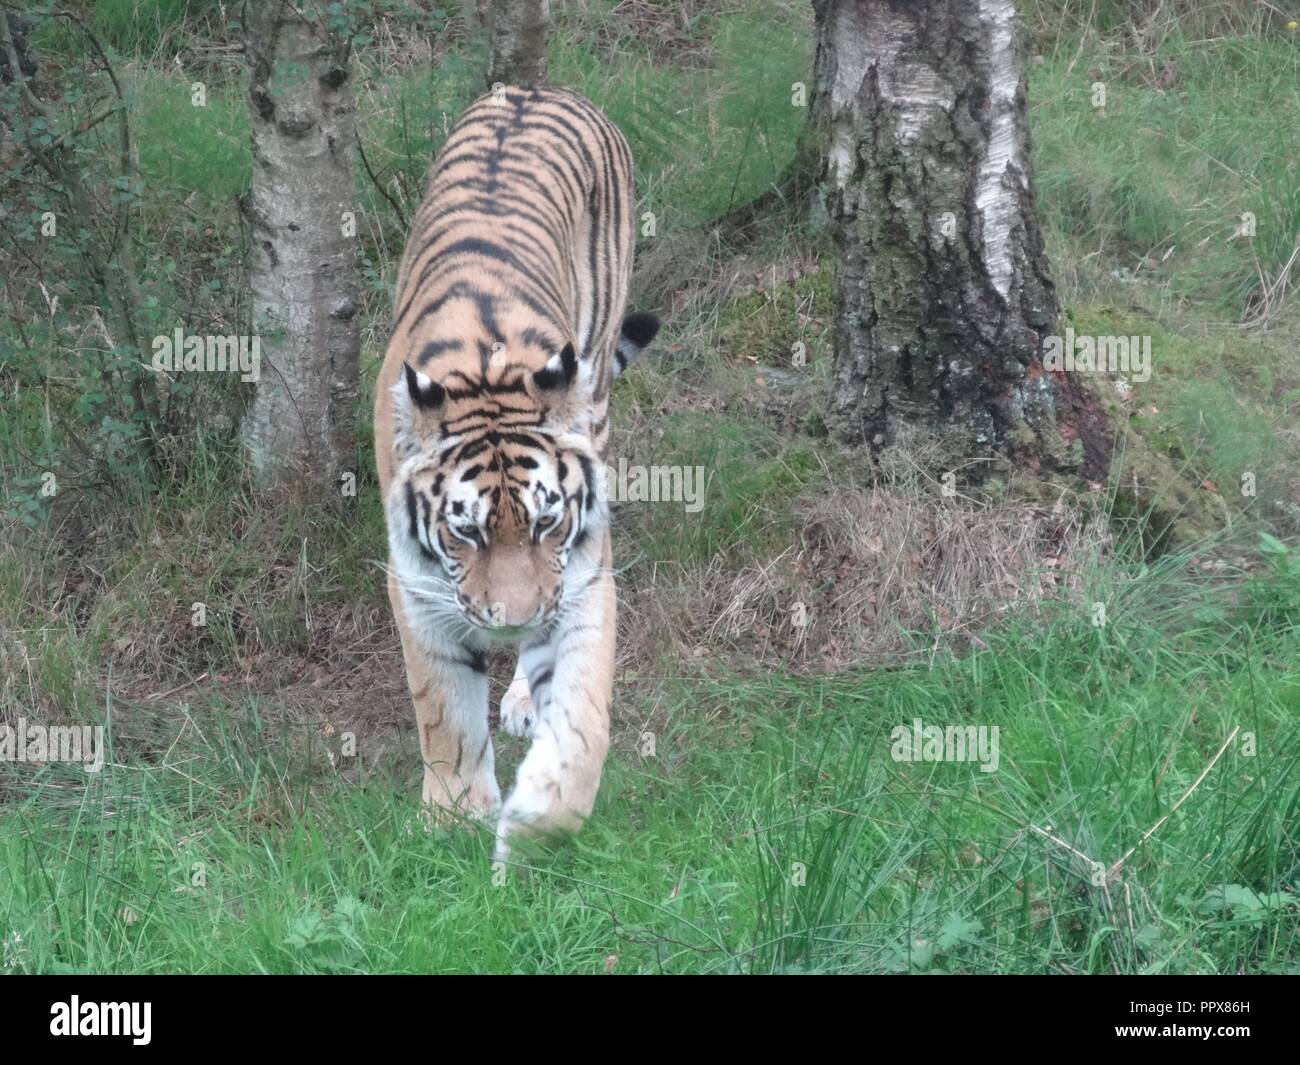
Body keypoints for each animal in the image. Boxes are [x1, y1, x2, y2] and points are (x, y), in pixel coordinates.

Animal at [377, 85, 660, 868]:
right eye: (465, 532)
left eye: (546, 521)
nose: (517, 621)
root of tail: (541, 88)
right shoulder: (416, 583)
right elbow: (442, 707)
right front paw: (453, 819)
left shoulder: (584, 572)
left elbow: (584, 713)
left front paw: (538, 820)